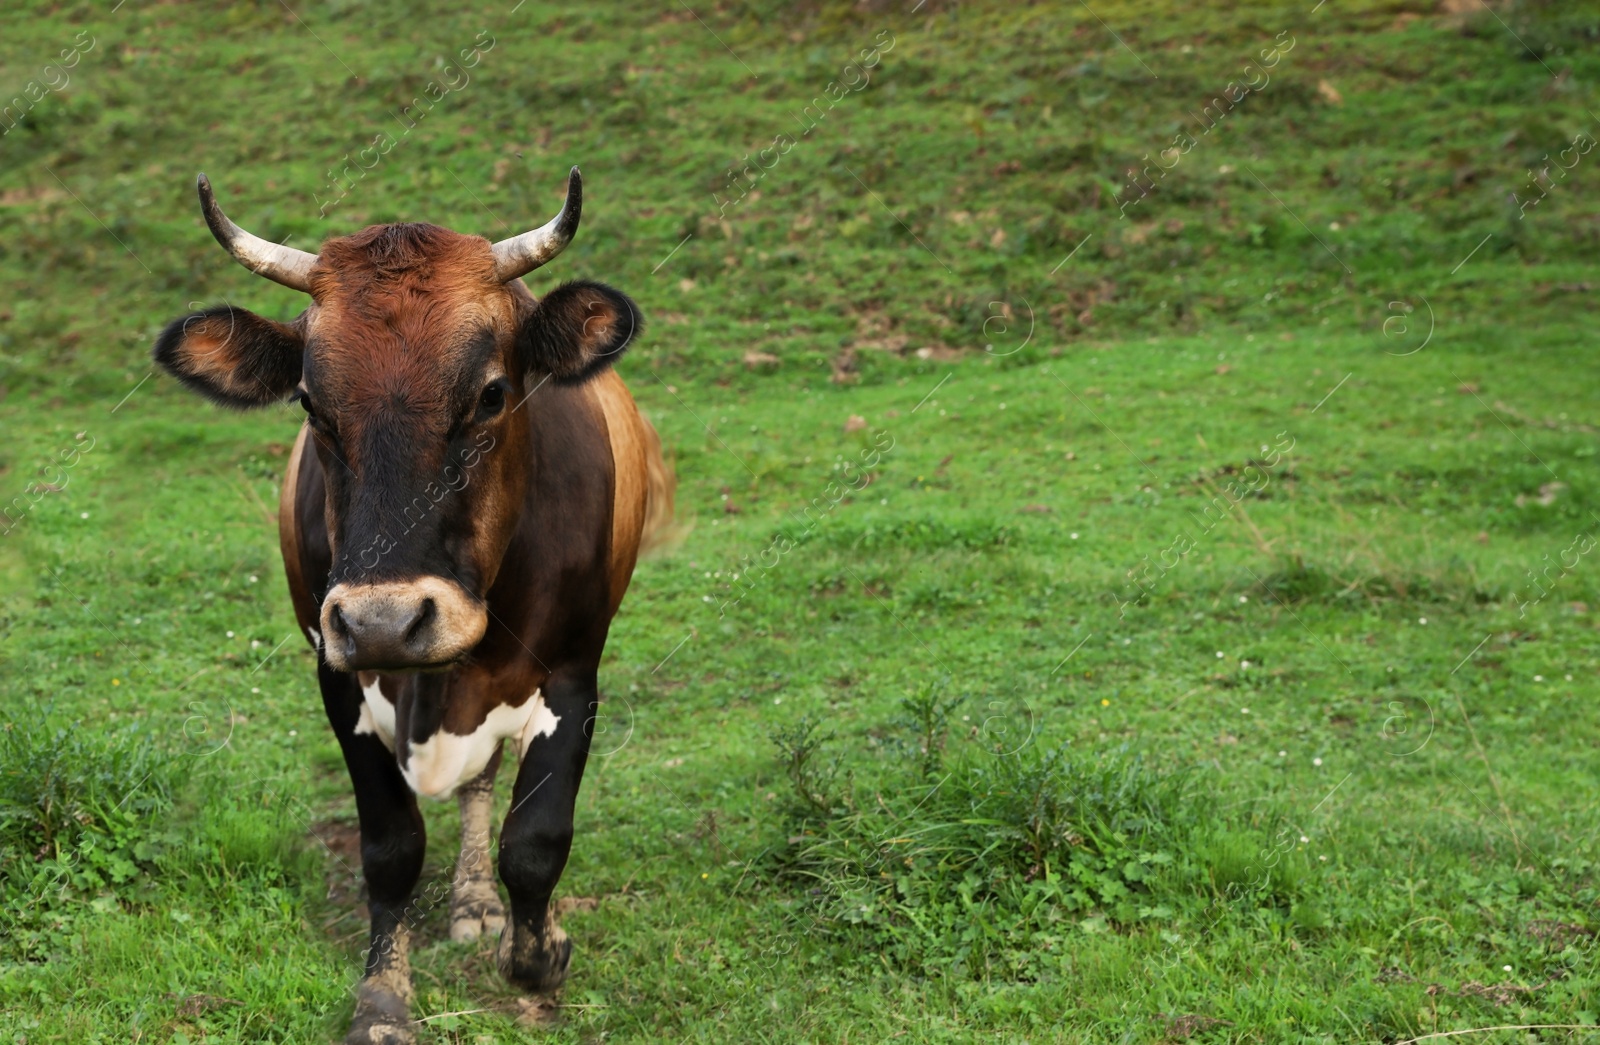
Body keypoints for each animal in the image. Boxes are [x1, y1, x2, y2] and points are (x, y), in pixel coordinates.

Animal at [151, 167, 675, 1036]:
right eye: (310, 403)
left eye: (492, 393)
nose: (385, 621)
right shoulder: (335, 668)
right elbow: (390, 844)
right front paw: (384, 992)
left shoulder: (574, 668)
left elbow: (535, 839)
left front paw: (538, 953)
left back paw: (477, 902)